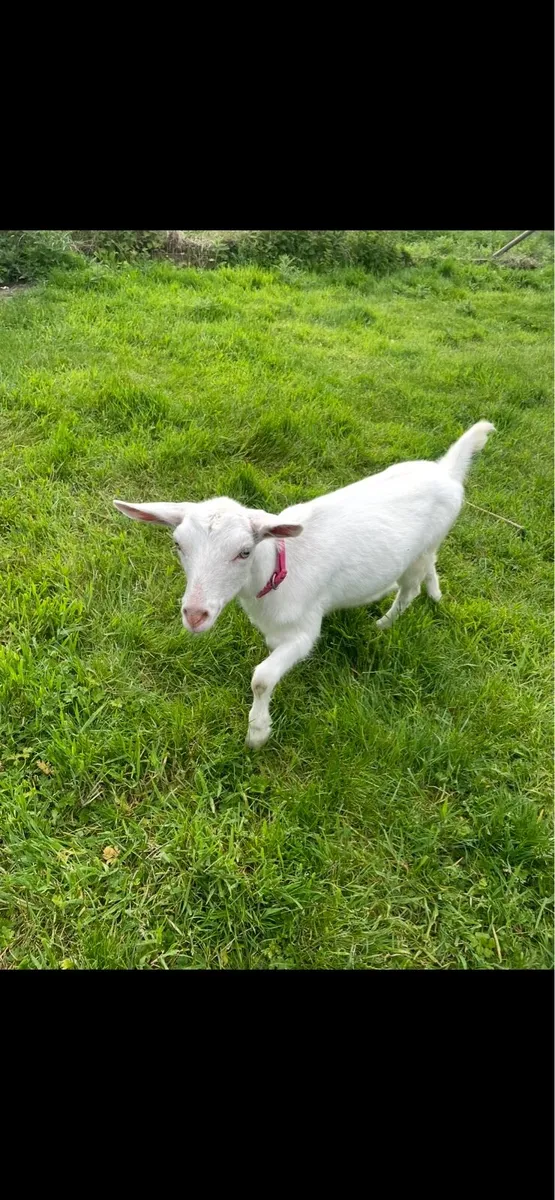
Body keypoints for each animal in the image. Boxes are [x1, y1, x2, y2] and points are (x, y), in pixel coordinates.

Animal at [114, 420, 495, 748]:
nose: (195, 615)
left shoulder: (304, 630)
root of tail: (446, 470)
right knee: (431, 566)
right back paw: (436, 593)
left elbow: (262, 678)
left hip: (421, 549)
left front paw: (257, 733)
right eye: (178, 545)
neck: (276, 571)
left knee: (410, 588)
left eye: (244, 551)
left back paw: (383, 624)